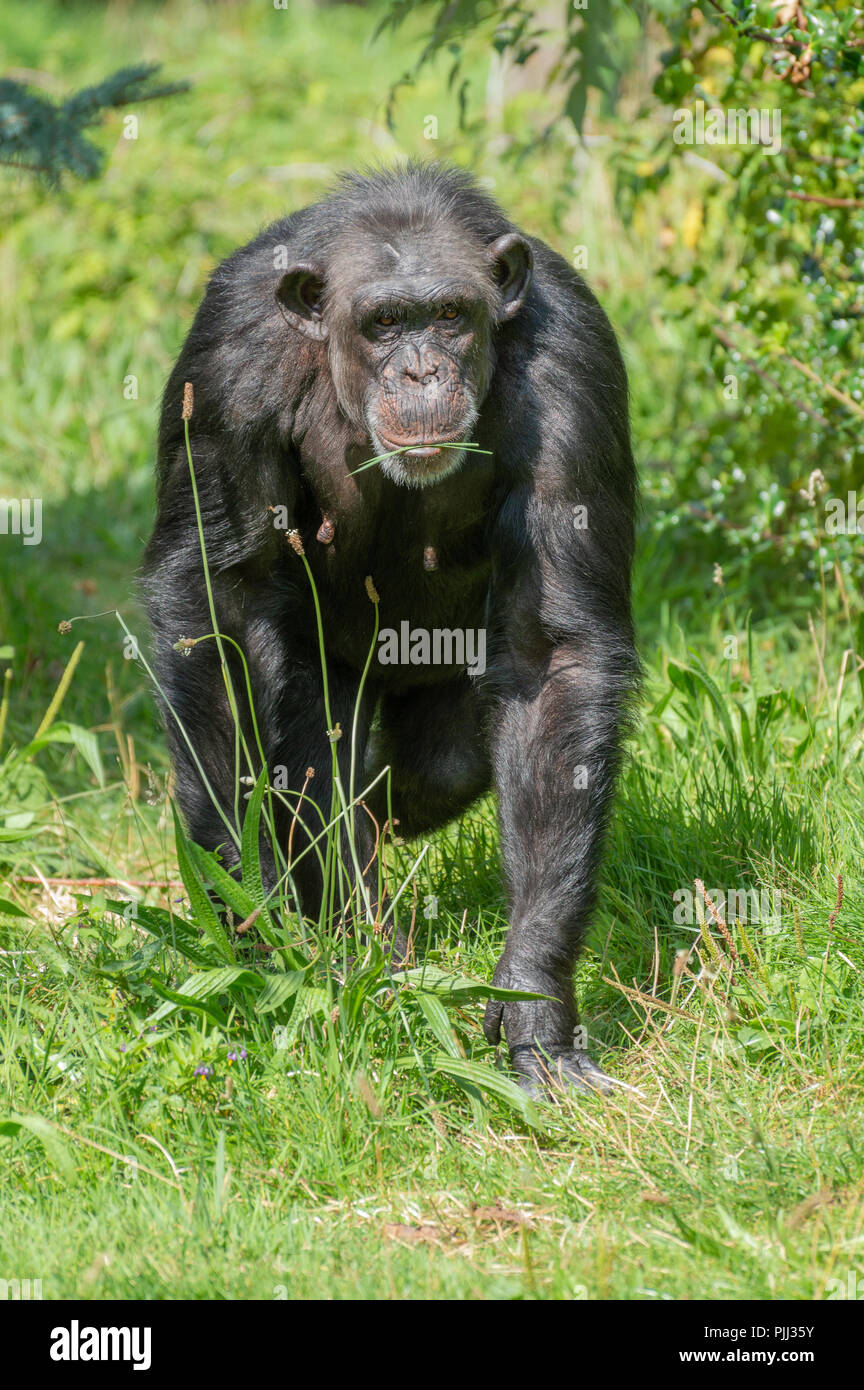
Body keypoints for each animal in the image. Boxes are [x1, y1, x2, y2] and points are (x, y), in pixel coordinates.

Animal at [145, 159, 638, 1095]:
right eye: (383, 323)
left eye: (447, 315)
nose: (418, 371)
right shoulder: (227, 362)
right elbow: (217, 598)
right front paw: (250, 909)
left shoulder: (573, 363)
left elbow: (552, 653)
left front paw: (533, 996)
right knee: (317, 761)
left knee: (436, 768)